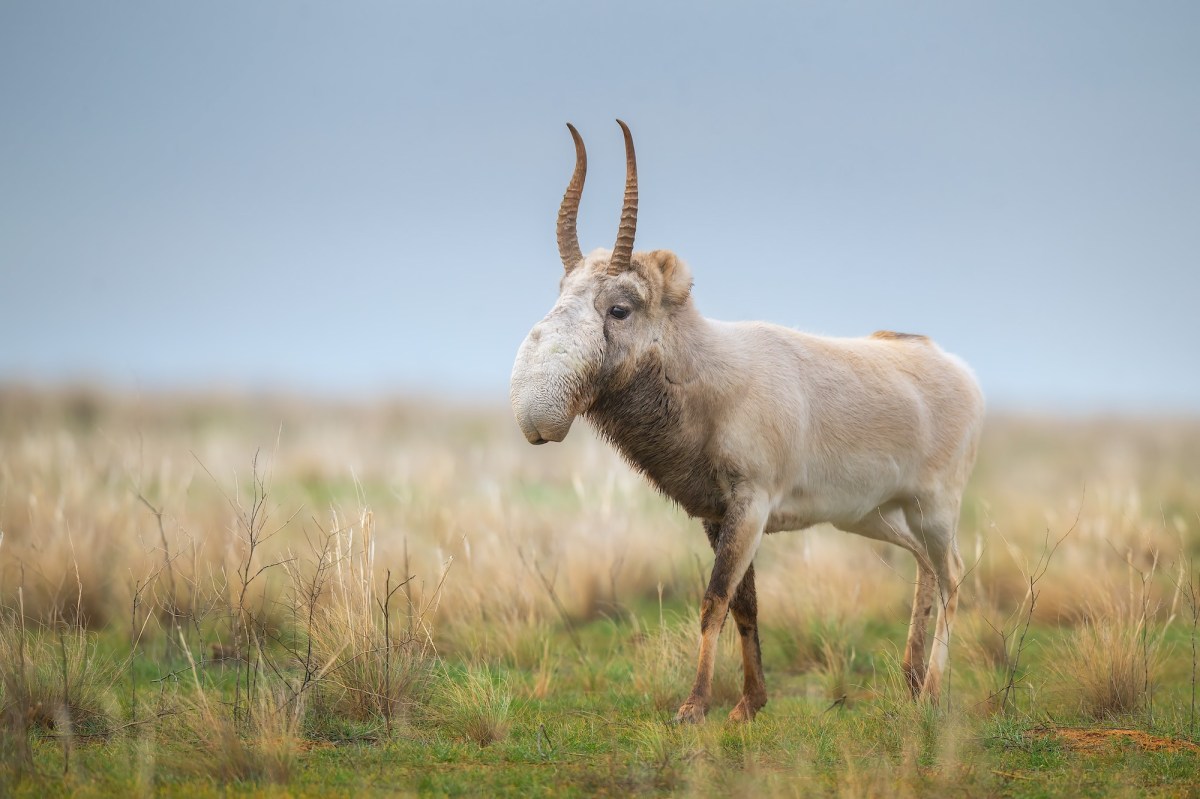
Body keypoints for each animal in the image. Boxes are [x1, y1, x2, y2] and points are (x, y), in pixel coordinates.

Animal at [510, 120, 984, 723]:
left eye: (619, 308)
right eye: (562, 295)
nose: (538, 419)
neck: (707, 370)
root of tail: (954, 368)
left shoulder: (751, 506)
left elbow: (714, 600)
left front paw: (694, 707)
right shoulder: (717, 515)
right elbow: (745, 604)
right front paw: (749, 704)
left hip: (936, 507)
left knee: (953, 575)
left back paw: (934, 690)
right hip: (873, 515)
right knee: (925, 566)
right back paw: (912, 679)